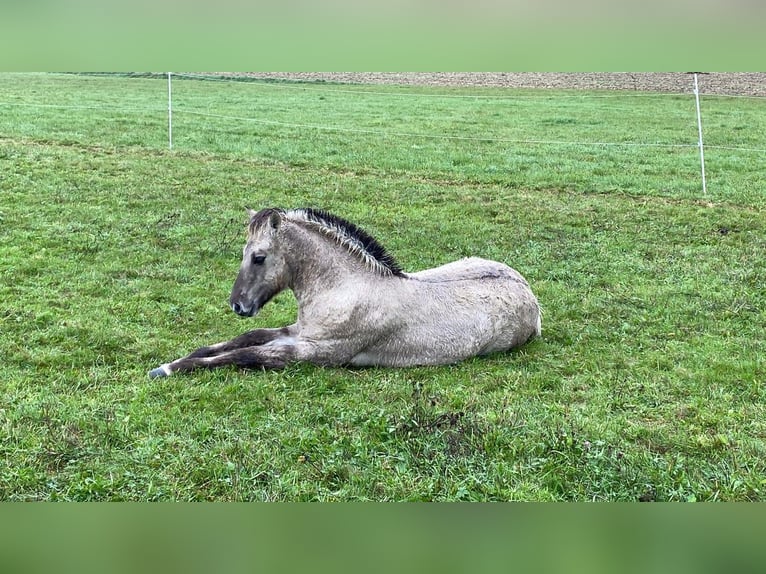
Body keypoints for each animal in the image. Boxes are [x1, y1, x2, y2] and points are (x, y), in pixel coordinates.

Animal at [148, 207, 541, 378]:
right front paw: (180, 358)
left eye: (258, 257)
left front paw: (167, 369)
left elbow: (248, 355)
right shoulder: (298, 330)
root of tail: (531, 297)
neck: (344, 288)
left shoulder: (315, 352)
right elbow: (245, 338)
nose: (237, 305)